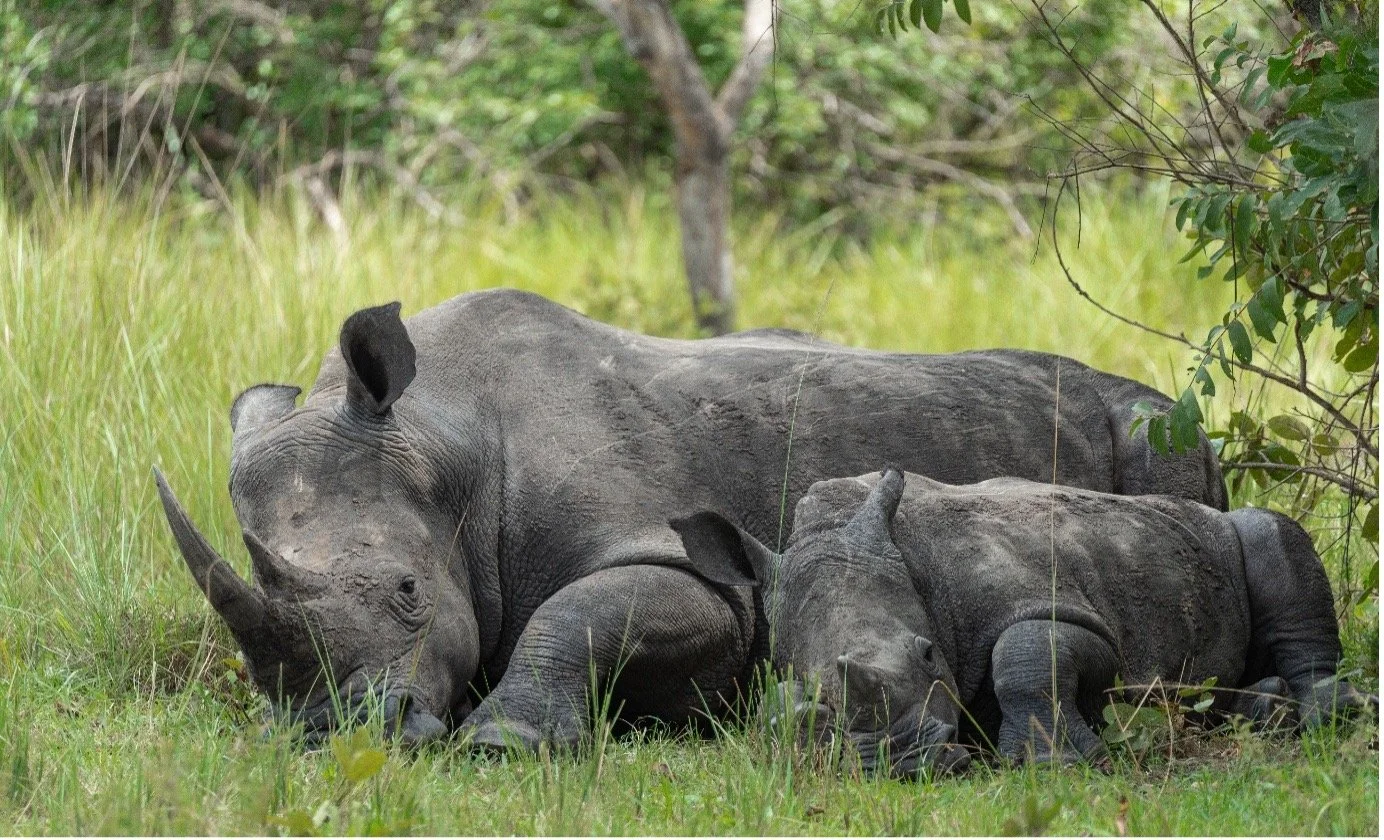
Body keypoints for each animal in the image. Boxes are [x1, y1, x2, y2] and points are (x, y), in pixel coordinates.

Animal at [155, 289, 1227, 749]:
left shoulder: (706, 575)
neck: (442, 437)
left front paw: (505, 742)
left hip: (1160, 426)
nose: (333, 736)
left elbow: (579, 614)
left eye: (411, 591)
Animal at [674, 468, 1371, 775]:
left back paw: (1328, 711)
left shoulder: (1079, 614)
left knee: (1267, 531)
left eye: (929, 654)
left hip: (1212, 535)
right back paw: (1265, 709)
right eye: (800, 689)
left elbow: (1026, 653)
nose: (898, 762)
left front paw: (1052, 763)